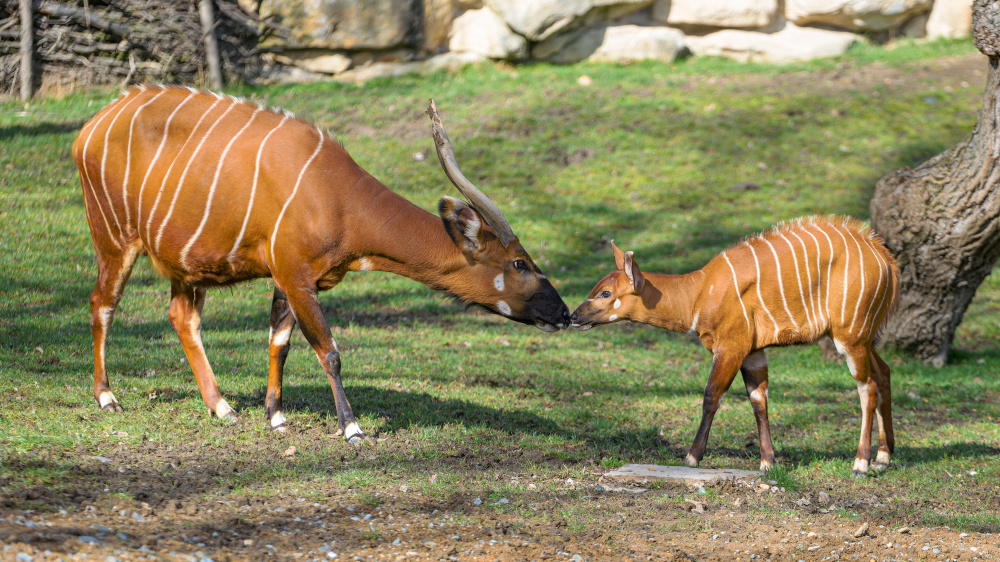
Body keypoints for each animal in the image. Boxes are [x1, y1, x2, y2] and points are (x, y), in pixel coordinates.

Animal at [71, 84, 572, 442]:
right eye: (521, 264)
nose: (564, 314)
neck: (338, 196)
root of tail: (89, 127)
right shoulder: (295, 275)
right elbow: (328, 350)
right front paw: (352, 428)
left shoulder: (292, 278)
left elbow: (280, 342)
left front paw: (275, 417)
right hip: (115, 239)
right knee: (101, 304)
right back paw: (107, 398)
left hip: (184, 267)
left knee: (181, 317)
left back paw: (223, 407)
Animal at [568, 217, 904, 474]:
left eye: (605, 293)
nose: (573, 316)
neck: (700, 291)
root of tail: (886, 259)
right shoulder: (753, 352)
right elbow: (758, 399)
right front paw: (768, 461)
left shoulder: (731, 347)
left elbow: (712, 395)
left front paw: (693, 456)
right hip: (861, 336)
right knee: (884, 373)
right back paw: (884, 457)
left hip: (850, 336)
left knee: (867, 387)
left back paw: (861, 462)